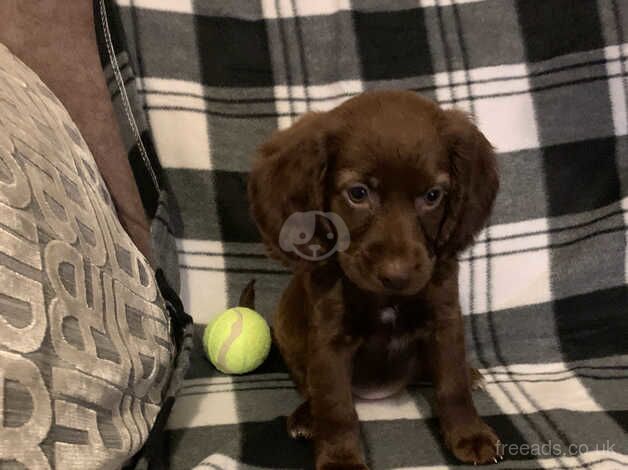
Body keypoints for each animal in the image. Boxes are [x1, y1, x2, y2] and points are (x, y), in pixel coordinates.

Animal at [248, 90, 498, 468]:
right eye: (358, 193)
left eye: (432, 195)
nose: (397, 276)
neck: (386, 300)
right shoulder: (329, 339)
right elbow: (335, 406)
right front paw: (340, 458)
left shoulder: (444, 319)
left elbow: (452, 384)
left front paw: (469, 433)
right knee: (311, 388)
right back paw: (306, 417)